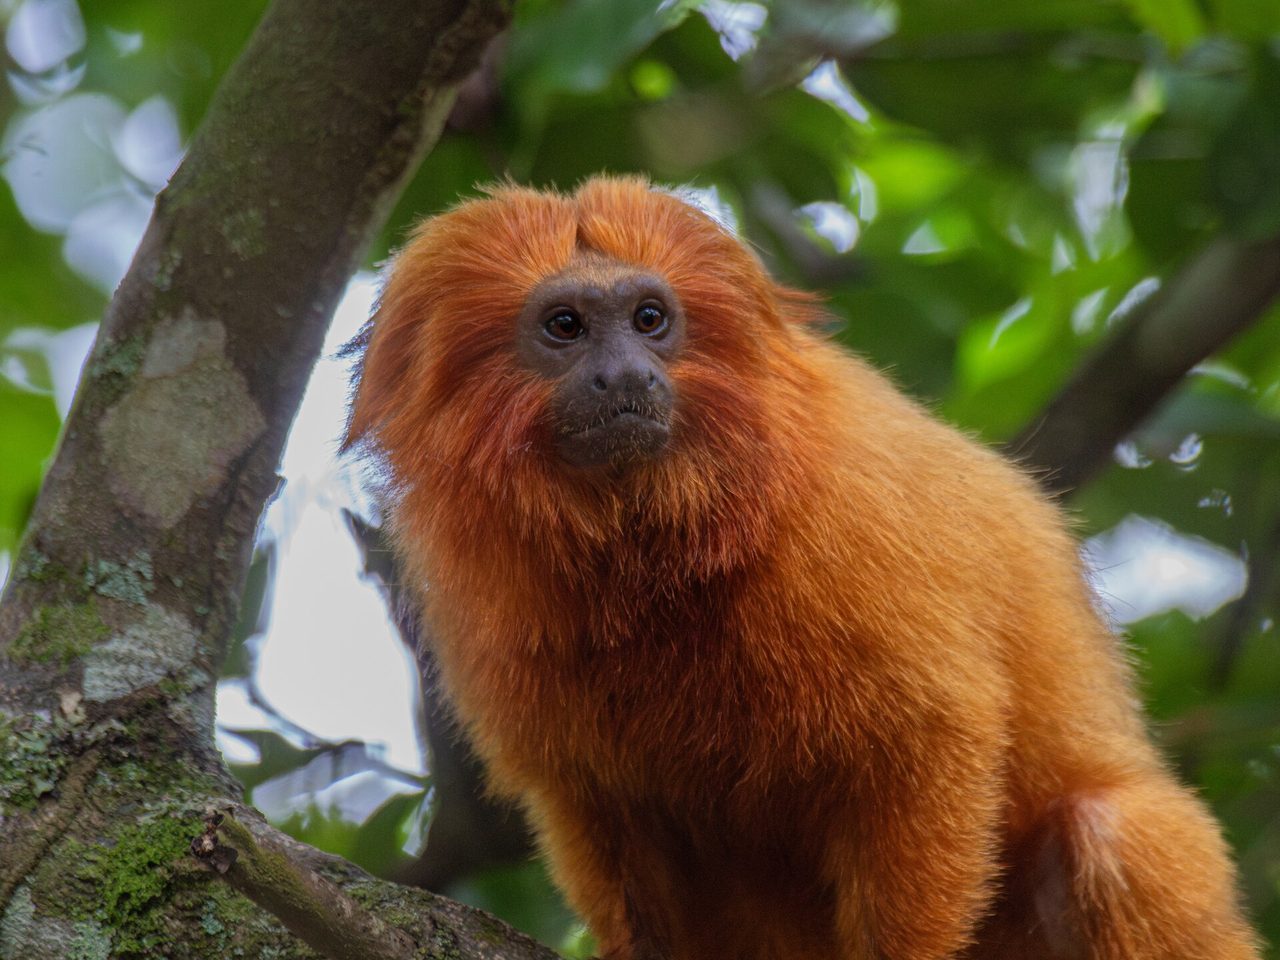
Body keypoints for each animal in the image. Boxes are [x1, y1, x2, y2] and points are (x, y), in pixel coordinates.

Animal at [344, 175, 1260, 959]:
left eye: (649, 318)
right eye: (566, 327)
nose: (626, 376)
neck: (654, 545)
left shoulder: (852, 527)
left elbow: (930, 738)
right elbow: (606, 807)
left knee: (1111, 838)